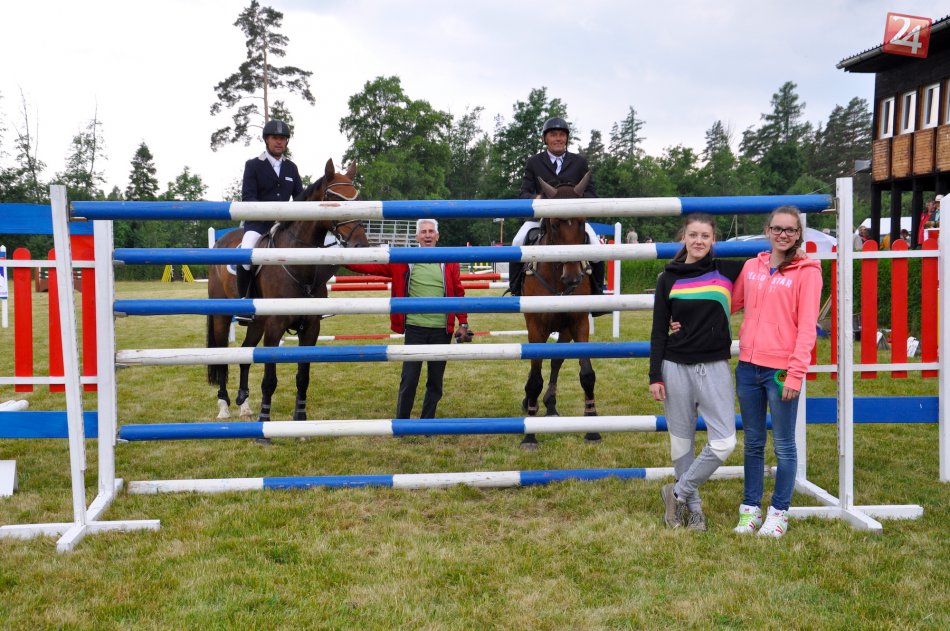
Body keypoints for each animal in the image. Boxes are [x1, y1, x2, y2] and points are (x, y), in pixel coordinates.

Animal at [206, 158, 369, 423]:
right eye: (332, 198)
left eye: (359, 199)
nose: (360, 245)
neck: (297, 262)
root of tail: (221, 241)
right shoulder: (275, 327)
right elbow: (269, 380)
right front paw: (265, 420)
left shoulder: (310, 328)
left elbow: (303, 377)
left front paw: (300, 418)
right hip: (222, 317)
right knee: (221, 357)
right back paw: (224, 406)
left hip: (257, 323)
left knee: (245, 352)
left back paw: (244, 402)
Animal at [520, 171, 601, 450]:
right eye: (554, 225)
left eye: (582, 223)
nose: (573, 277)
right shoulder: (536, 326)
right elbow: (535, 378)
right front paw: (529, 435)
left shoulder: (578, 323)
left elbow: (586, 374)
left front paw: (593, 428)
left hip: (563, 331)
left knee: (556, 362)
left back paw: (551, 405)